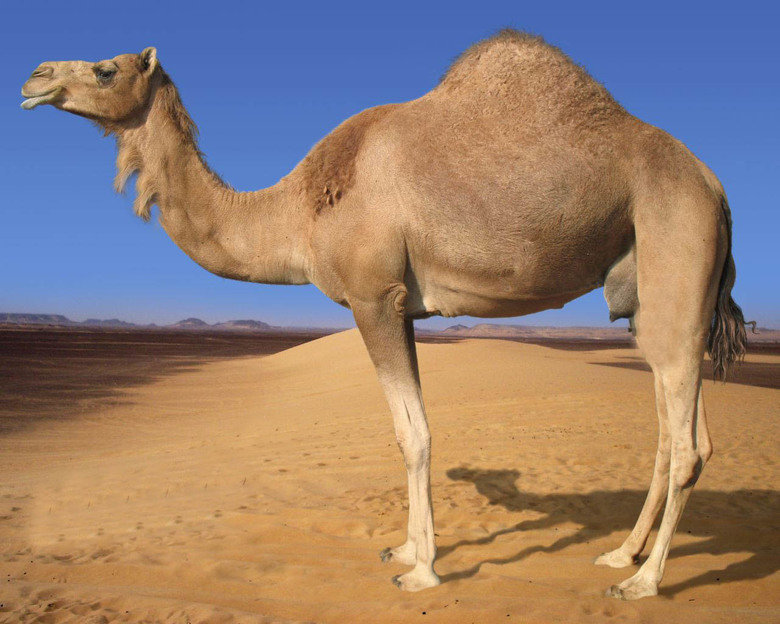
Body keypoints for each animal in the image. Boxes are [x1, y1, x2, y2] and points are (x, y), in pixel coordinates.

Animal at [21, 30, 749, 599]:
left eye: (105, 68)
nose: (33, 77)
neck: (297, 208)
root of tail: (716, 188)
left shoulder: (374, 296)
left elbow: (413, 434)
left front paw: (421, 571)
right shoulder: (403, 306)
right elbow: (411, 430)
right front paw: (404, 549)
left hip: (676, 249)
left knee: (686, 444)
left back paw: (644, 581)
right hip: (650, 297)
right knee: (677, 433)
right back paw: (621, 553)